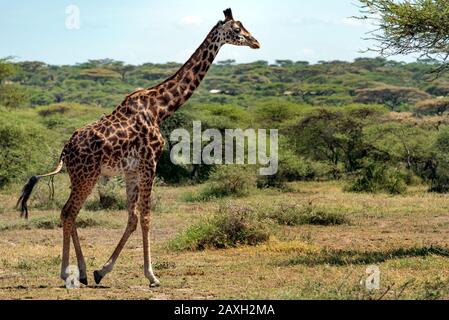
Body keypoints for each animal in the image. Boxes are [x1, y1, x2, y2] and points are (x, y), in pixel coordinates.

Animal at [16, 8, 260, 288]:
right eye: (237, 30)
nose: (256, 42)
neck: (160, 109)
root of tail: (65, 150)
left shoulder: (132, 170)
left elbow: (132, 218)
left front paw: (103, 271)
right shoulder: (149, 163)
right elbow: (146, 217)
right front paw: (152, 276)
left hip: (80, 176)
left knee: (71, 214)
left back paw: (85, 272)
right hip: (87, 175)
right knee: (68, 212)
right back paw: (67, 273)